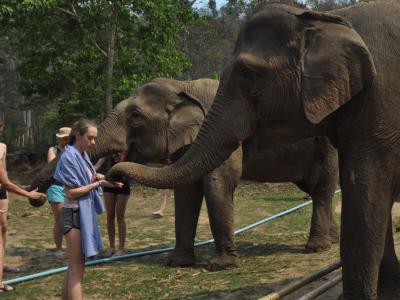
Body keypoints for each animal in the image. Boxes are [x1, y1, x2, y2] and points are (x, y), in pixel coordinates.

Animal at [108, 2, 400, 300]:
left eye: (134, 117)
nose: (112, 174)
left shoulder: (382, 102)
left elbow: (365, 189)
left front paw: (220, 266)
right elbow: (187, 191)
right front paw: (178, 263)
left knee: (323, 187)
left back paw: (317, 247)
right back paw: (328, 240)